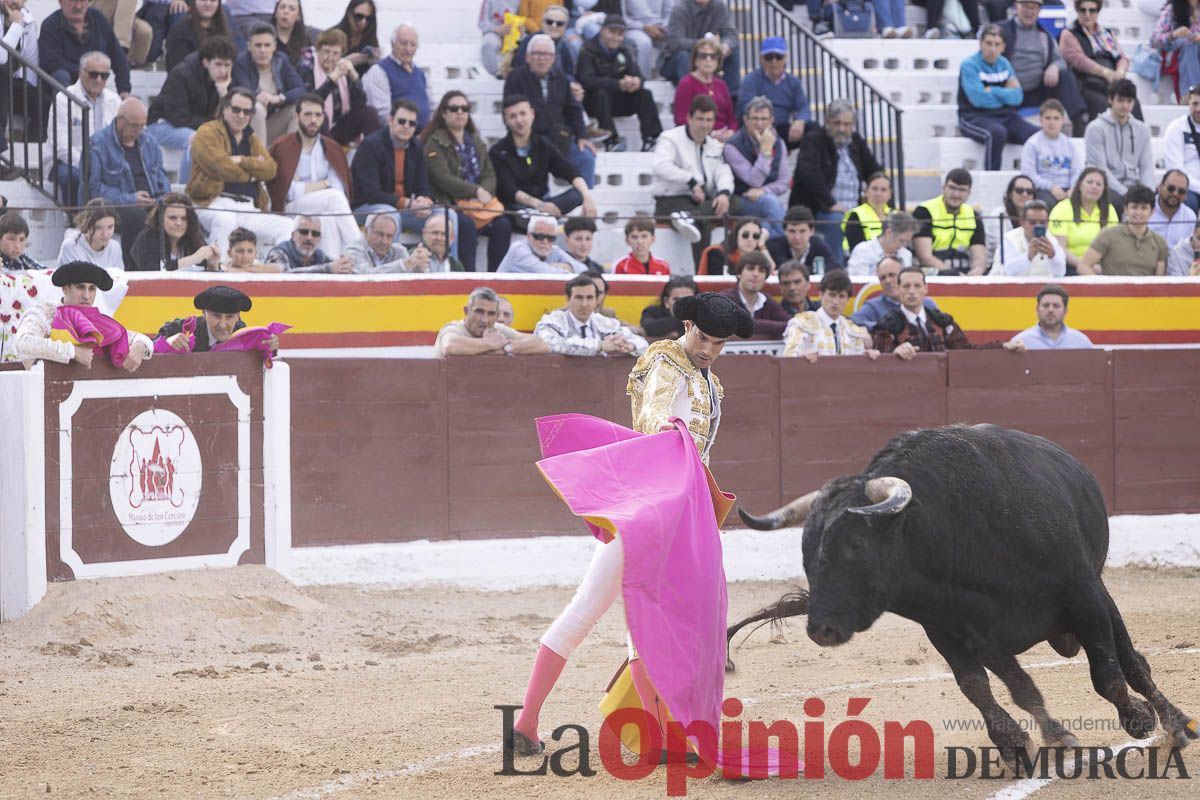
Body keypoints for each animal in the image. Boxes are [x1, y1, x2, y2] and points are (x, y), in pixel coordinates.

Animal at [724, 422, 1195, 762]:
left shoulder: (1082, 595)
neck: (952, 532)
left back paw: (1177, 723)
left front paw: (1138, 719)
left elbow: (1109, 675)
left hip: (1099, 595)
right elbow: (987, 686)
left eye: (855, 544)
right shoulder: (953, 628)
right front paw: (1030, 742)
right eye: (805, 549)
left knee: (1133, 663)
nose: (820, 628)